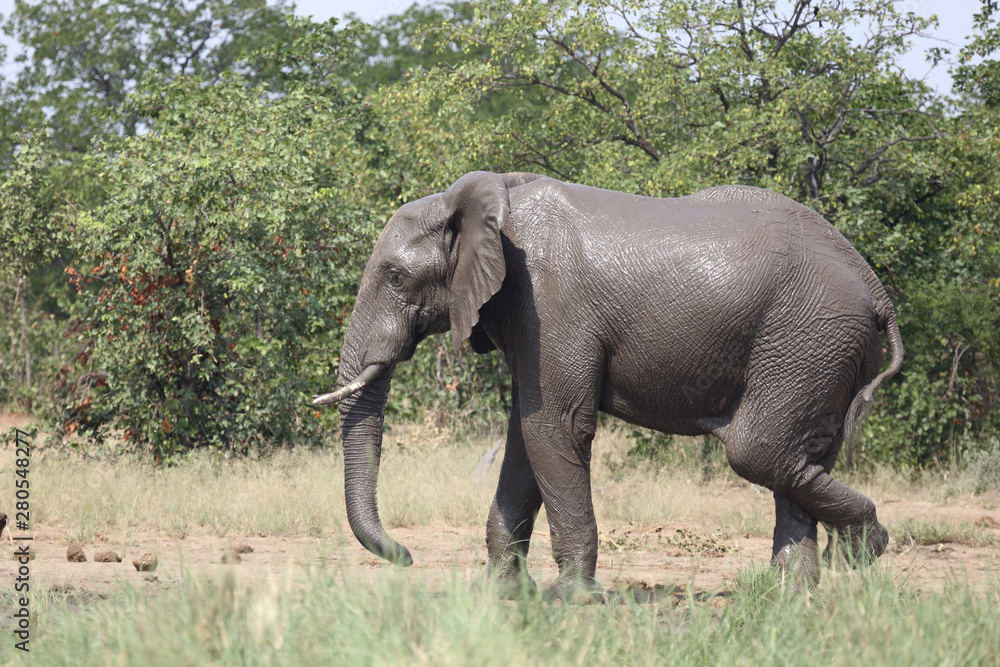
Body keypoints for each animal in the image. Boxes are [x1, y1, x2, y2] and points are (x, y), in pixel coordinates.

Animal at [315, 171, 903, 599]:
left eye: (395, 276)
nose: (406, 556)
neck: (488, 204)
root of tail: (877, 290)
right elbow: (526, 437)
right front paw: (504, 596)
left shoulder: (549, 303)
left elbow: (555, 428)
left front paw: (570, 599)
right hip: (819, 350)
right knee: (799, 456)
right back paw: (794, 593)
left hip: (808, 338)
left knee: (758, 451)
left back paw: (863, 550)